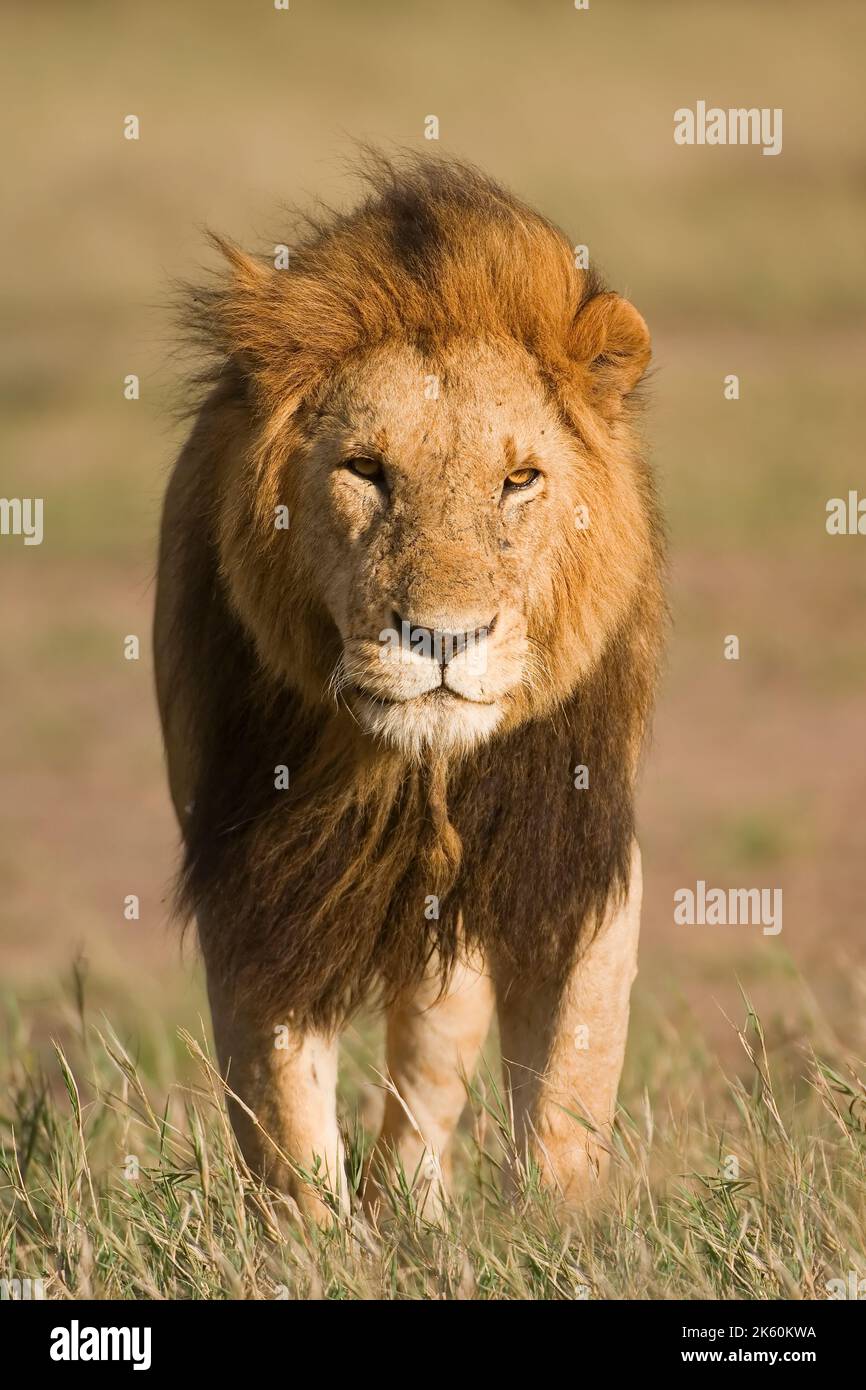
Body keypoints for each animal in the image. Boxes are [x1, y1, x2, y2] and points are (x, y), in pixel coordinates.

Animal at [154, 155, 666, 1221]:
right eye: (364, 469)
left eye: (520, 479)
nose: (442, 637)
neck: (413, 767)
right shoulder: (252, 877)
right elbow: (282, 1117)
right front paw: (313, 1241)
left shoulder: (577, 856)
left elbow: (570, 1087)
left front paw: (552, 1232)